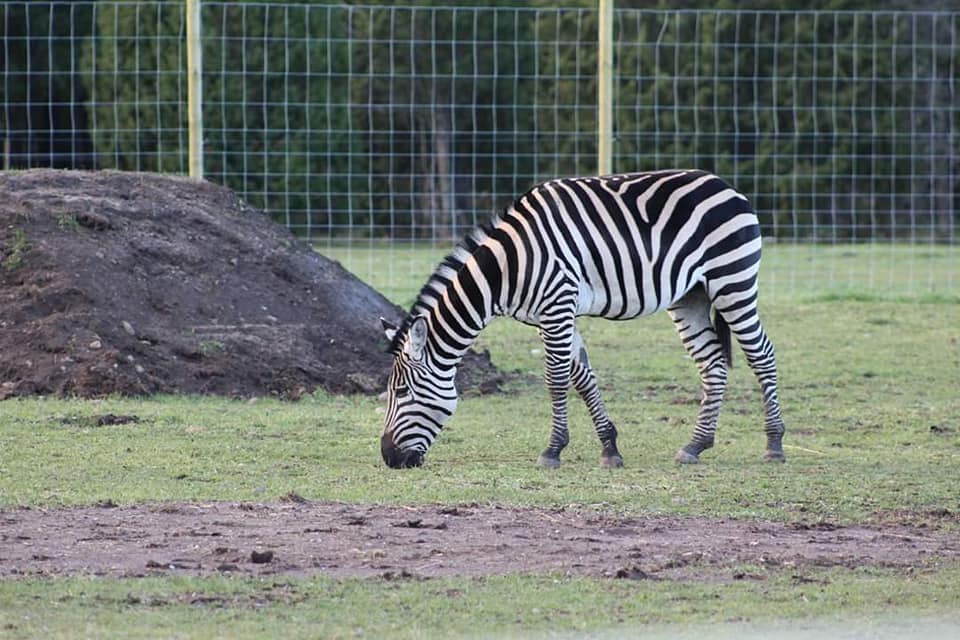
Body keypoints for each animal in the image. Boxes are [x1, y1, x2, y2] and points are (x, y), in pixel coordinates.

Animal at [379, 169, 786, 469]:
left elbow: (557, 380)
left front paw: (552, 451)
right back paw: (695, 445)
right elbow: (583, 378)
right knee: (713, 364)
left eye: (402, 392)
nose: (389, 458)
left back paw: (774, 443)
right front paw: (609, 448)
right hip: (691, 296)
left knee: (762, 355)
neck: (508, 267)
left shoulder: (557, 306)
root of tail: (725, 185)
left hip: (731, 280)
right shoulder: (553, 315)